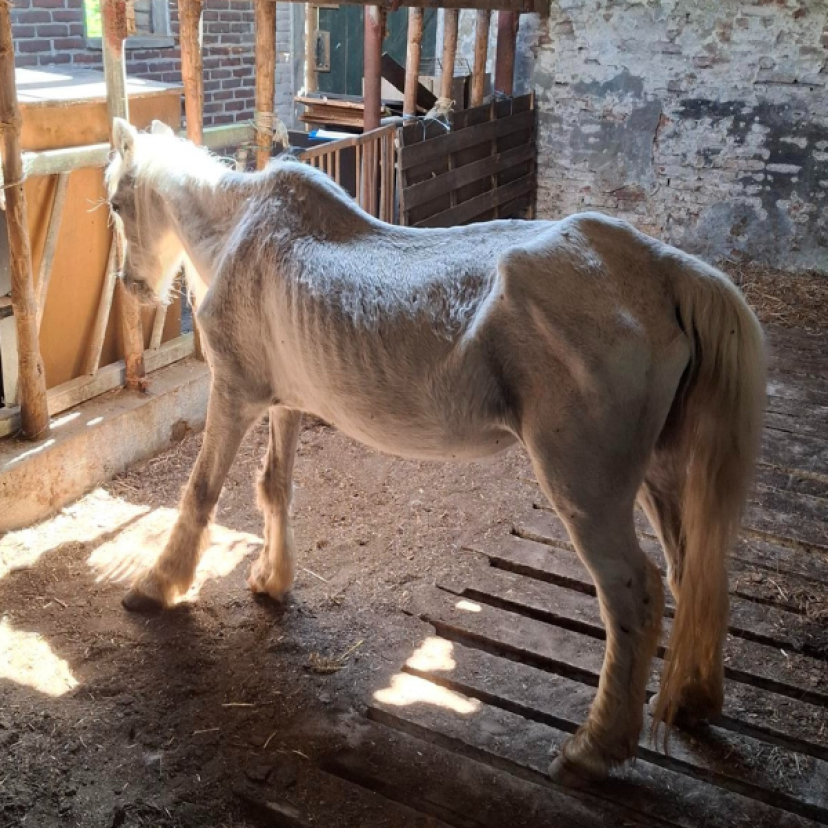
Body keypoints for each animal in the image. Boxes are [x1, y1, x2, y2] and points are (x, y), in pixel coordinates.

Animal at [104, 117, 766, 786]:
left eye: (115, 203)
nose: (133, 287)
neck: (240, 228)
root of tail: (661, 271)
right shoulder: (284, 401)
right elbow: (274, 488)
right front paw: (270, 580)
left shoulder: (235, 393)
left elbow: (201, 493)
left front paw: (156, 586)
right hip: (660, 475)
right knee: (693, 571)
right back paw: (691, 701)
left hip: (586, 489)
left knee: (635, 591)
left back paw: (592, 748)